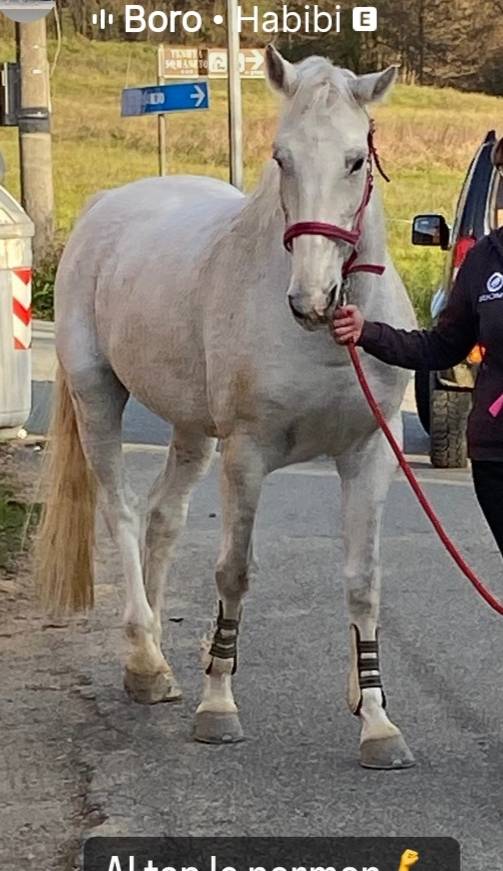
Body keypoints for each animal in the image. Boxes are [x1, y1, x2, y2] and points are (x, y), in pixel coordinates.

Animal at [35, 46, 417, 769]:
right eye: (280, 157)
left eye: (356, 159)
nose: (311, 299)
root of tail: (108, 204)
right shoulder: (247, 453)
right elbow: (234, 572)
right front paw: (219, 704)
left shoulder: (369, 455)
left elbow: (365, 579)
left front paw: (376, 719)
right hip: (100, 398)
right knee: (122, 513)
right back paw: (147, 659)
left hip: (190, 428)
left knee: (161, 518)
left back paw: (149, 657)